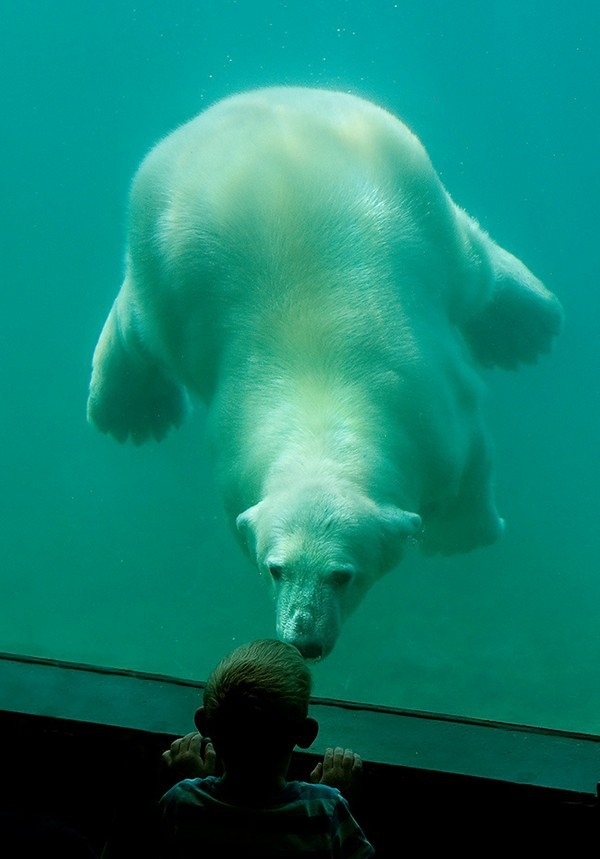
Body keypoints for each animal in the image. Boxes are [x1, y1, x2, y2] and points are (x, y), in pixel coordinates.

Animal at [88, 87, 564, 660]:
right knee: (140, 321)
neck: (323, 404)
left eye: (343, 574)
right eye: (276, 568)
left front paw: (462, 538)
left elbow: (472, 462)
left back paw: (526, 329)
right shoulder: (233, 455)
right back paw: (132, 412)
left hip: (419, 198)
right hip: (163, 256)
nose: (303, 640)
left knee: (471, 266)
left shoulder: (436, 407)